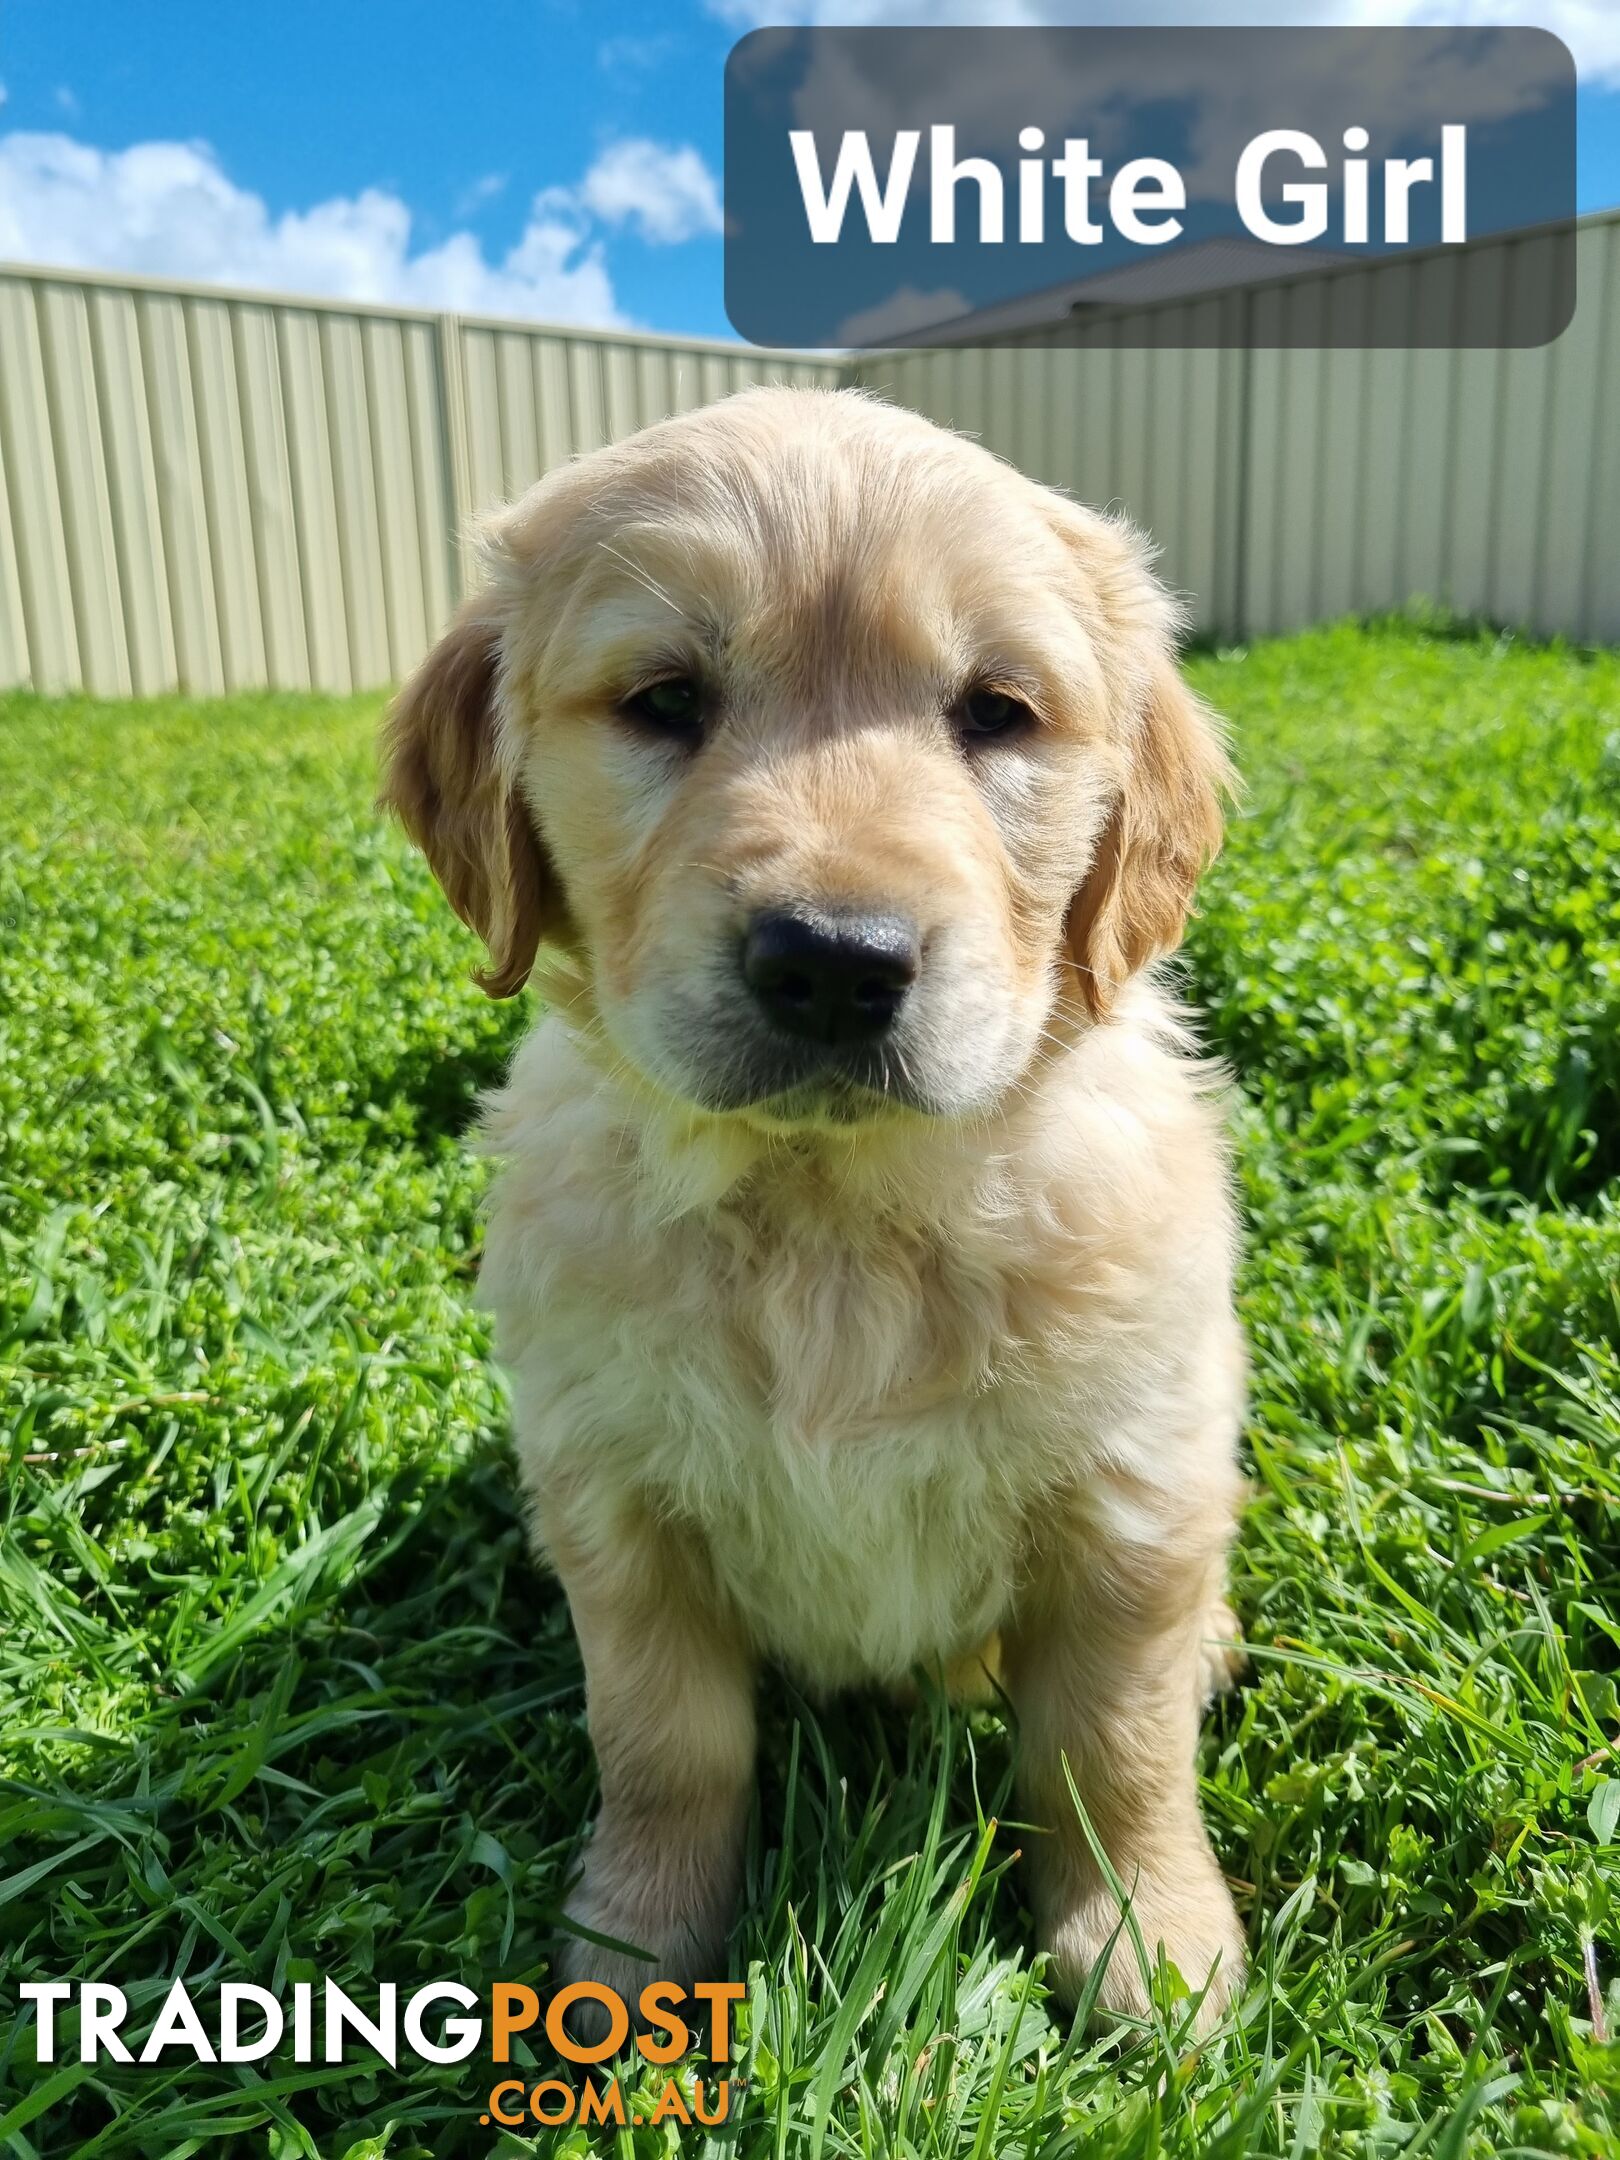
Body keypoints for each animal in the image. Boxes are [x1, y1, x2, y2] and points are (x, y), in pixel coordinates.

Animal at [386, 388, 1252, 2021]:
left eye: (996, 711)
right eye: (666, 698)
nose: (837, 961)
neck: (831, 1215)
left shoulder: (1128, 1501)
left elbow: (1113, 1752)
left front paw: (1150, 1946)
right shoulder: (618, 1508)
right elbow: (667, 1750)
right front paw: (630, 1951)